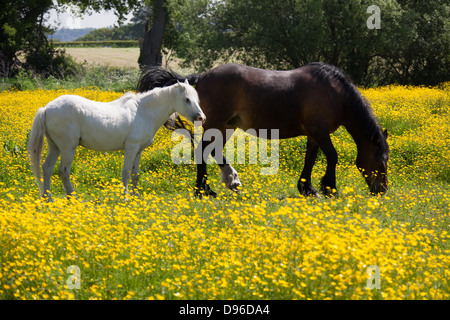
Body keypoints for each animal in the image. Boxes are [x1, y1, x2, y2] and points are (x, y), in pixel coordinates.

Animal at [27, 79, 204, 200]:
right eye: (187, 99)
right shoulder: (131, 147)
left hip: (55, 147)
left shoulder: (138, 151)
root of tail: (46, 108)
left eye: (197, 98)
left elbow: (135, 174)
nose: (201, 117)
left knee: (47, 168)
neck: (143, 111)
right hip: (67, 147)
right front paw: (124, 197)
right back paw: (73, 198)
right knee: (63, 171)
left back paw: (48, 199)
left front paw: (135, 197)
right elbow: (126, 172)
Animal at [136, 62, 386, 196]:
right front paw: (329, 188)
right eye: (379, 158)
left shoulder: (314, 134)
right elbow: (332, 157)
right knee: (203, 152)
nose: (381, 190)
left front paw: (307, 188)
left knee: (211, 151)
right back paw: (204, 190)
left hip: (226, 126)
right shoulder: (320, 131)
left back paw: (226, 182)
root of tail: (202, 77)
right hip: (216, 124)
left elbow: (310, 159)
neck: (334, 93)